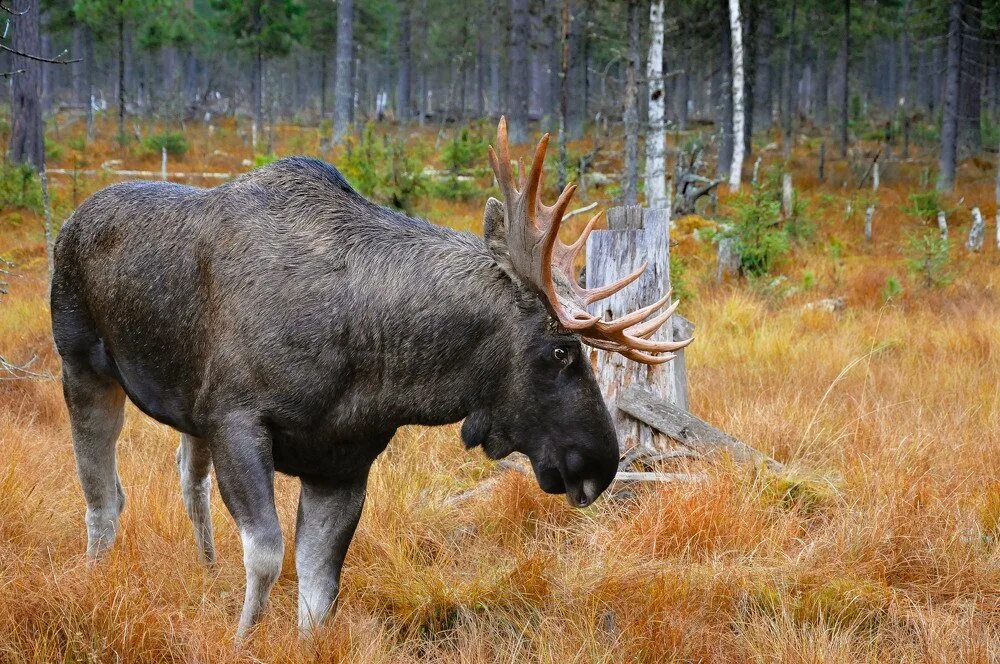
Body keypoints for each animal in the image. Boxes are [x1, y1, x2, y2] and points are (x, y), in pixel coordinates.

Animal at [50, 119, 692, 640]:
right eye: (561, 350)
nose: (599, 463)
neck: (374, 357)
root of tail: (70, 222)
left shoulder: (342, 464)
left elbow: (319, 593)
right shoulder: (237, 420)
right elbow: (267, 555)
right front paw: (241, 639)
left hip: (187, 406)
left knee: (188, 477)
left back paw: (206, 571)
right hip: (82, 365)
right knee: (103, 496)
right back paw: (93, 577)